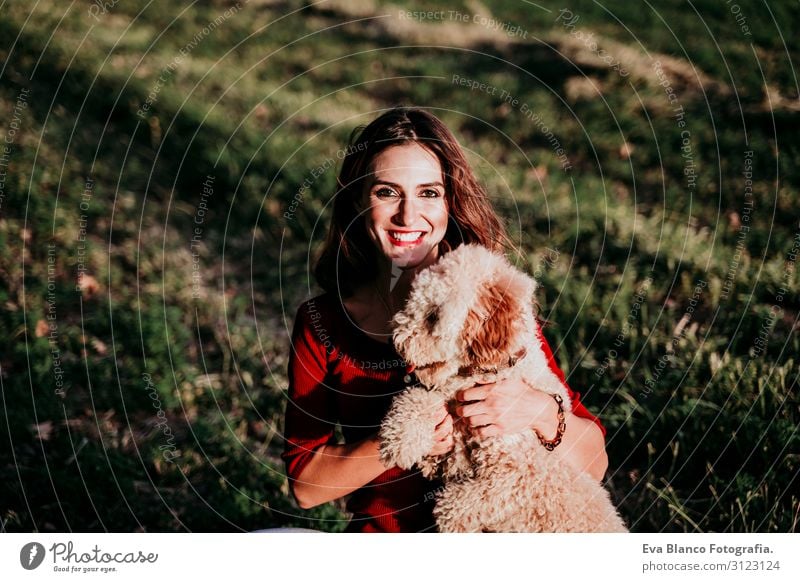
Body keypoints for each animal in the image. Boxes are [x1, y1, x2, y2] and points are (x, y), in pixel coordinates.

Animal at [378, 243, 628, 532]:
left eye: (432, 316)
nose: (395, 342)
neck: (494, 372)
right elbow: (418, 399)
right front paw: (399, 442)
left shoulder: (517, 472)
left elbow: (460, 504)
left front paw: (449, 517)